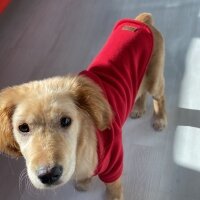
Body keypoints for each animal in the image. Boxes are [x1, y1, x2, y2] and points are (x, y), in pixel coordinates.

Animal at [0, 13, 166, 199]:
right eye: (23, 127)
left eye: (66, 121)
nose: (48, 174)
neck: (81, 147)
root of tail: (140, 22)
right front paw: (84, 182)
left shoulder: (114, 162)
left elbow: (113, 185)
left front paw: (113, 195)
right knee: (141, 92)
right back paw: (138, 108)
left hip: (155, 79)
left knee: (160, 98)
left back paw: (160, 119)